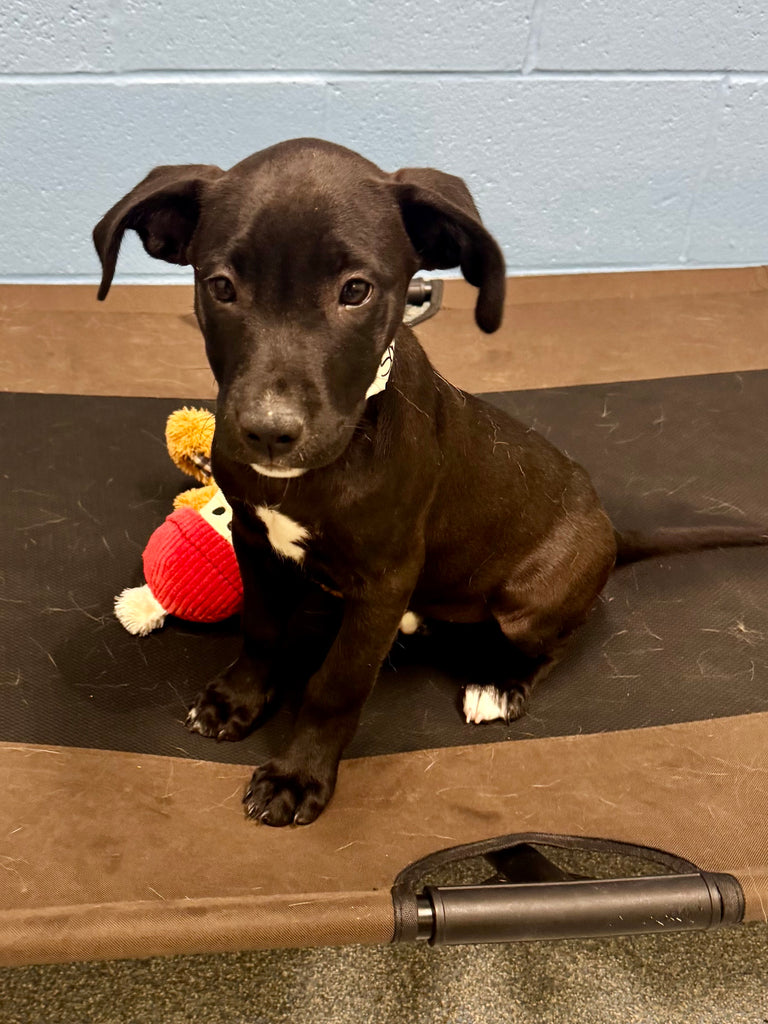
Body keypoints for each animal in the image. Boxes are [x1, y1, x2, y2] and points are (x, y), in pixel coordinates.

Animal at [94, 138, 767, 827]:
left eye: (356, 291)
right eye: (221, 287)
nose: (268, 433)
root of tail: (610, 528)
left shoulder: (385, 579)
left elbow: (336, 684)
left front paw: (298, 774)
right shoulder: (255, 542)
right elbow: (260, 629)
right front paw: (238, 699)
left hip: (531, 600)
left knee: (559, 637)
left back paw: (499, 683)